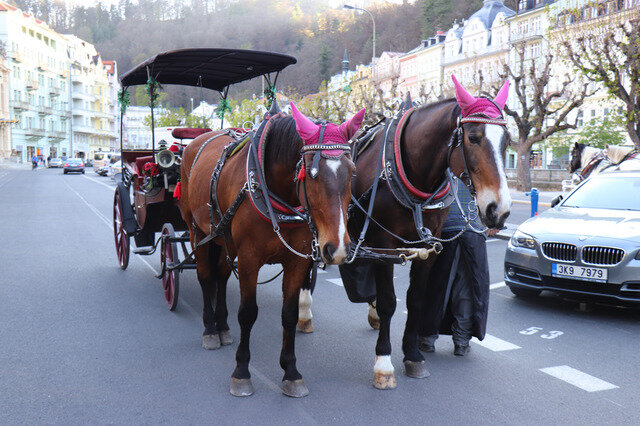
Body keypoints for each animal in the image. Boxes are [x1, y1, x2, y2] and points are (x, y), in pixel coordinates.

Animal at [179, 104, 364, 400]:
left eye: (352, 171)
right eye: (311, 173)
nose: (336, 248)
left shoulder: (296, 261)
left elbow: (289, 314)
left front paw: (291, 372)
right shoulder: (249, 259)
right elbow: (247, 312)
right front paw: (241, 371)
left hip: (222, 238)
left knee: (221, 276)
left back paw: (222, 326)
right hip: (197, 231)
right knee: (206, 277)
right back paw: (210, 329)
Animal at [302, 75, 512, 388]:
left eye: (507, 141)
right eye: (474, 137)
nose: (500, 209)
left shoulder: (427, 245)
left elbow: (415, 299)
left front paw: (413, 355)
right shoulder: (385, 244)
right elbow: (390, 302)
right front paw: (384, 362)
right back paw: (304, 311)